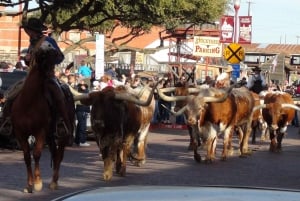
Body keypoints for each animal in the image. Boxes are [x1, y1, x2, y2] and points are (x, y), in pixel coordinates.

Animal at [10, 40, 74, 193]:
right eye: (46, 53)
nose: (60, 55)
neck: (28, 102)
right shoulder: (21, 133)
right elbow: (27, 156)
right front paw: (29, 184)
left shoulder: (40, 132)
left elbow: (37, 154)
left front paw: (38, 182)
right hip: (51, 135)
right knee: (55, 153)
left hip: (61, 135)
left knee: (59, 155)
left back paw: (54, 181)